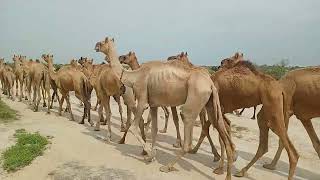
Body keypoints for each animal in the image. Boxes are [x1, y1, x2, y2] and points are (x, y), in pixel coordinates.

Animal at [94, 37, 234, 180]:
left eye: (102, 42)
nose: (95, 47)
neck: (134, 76)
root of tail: (210, 83)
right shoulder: (154, 105)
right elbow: (154, 130)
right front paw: (151, 155)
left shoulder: (142, 99)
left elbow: (134, 127)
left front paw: (150, 154)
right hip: (211, 104)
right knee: (222, 131)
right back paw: (225, 172)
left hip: (195, 99)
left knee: (187, 132)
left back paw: (167, 167)